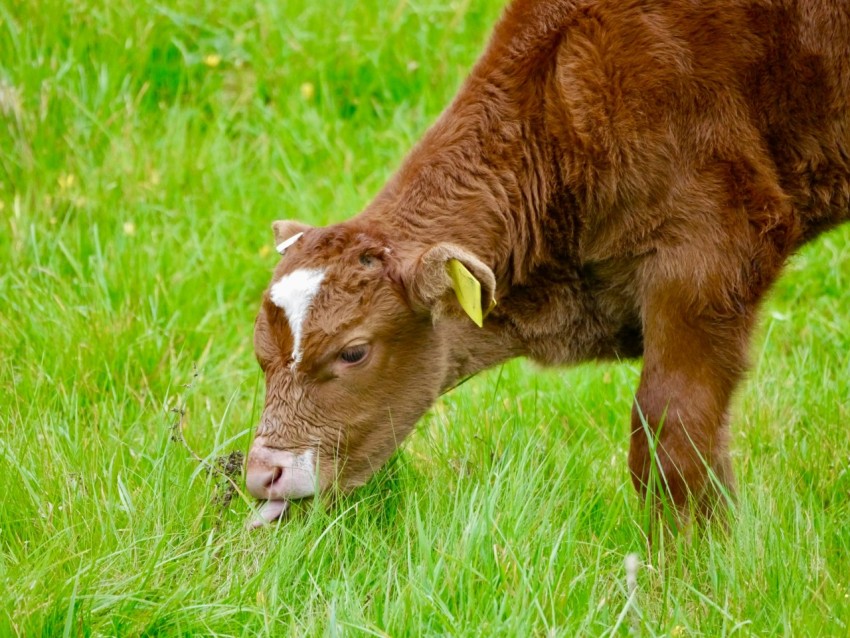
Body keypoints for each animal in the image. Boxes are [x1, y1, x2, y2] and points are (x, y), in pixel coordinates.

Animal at [242, 0, 844, 528]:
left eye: (354, 352)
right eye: (260, 353)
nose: (263, 474)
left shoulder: (711, 252)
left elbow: (670, 434)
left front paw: (692, 563)